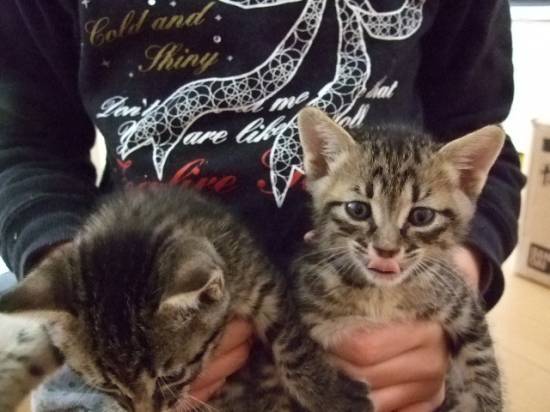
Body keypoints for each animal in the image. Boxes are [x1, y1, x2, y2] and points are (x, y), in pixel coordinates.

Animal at [0, 185, 370, 412]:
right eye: (108, 386)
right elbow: (25, 352)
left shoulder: (262, 281)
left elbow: (292, 346)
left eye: (171, 377)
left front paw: (330, 397)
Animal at [290, 107, 504, 411]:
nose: (386, 250)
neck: (381, 297)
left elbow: (483, 369)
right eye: (357, 210)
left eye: (422, 216)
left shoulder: (462, 301)